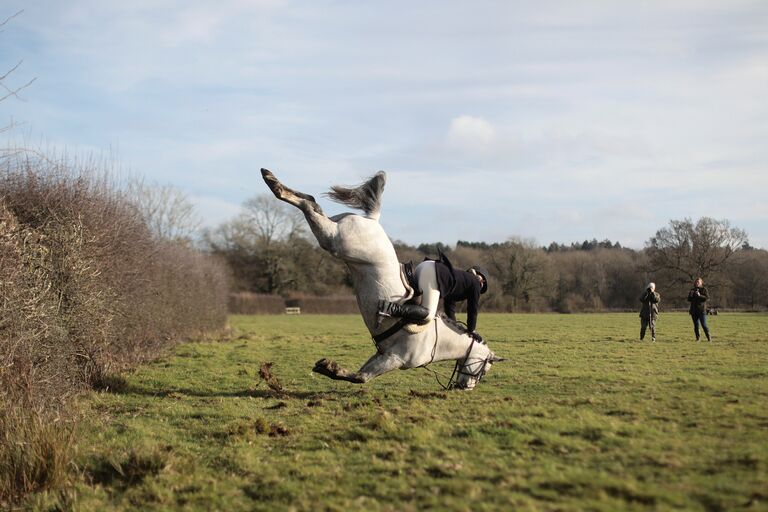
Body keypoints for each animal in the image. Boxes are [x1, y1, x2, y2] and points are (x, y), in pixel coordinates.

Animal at [260, 170, 500, 390]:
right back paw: (273, 183)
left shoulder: (382, 354)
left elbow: (360, 374)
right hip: (336, 241)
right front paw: (329, 367)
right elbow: (360, 378)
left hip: (336, 232)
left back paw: (272, 180)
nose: (465, 387)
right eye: (485, 369)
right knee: (309, 206)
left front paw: (329, 368)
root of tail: (373, 219)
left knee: (312, 201)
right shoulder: (395, 359)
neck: (437, 341)